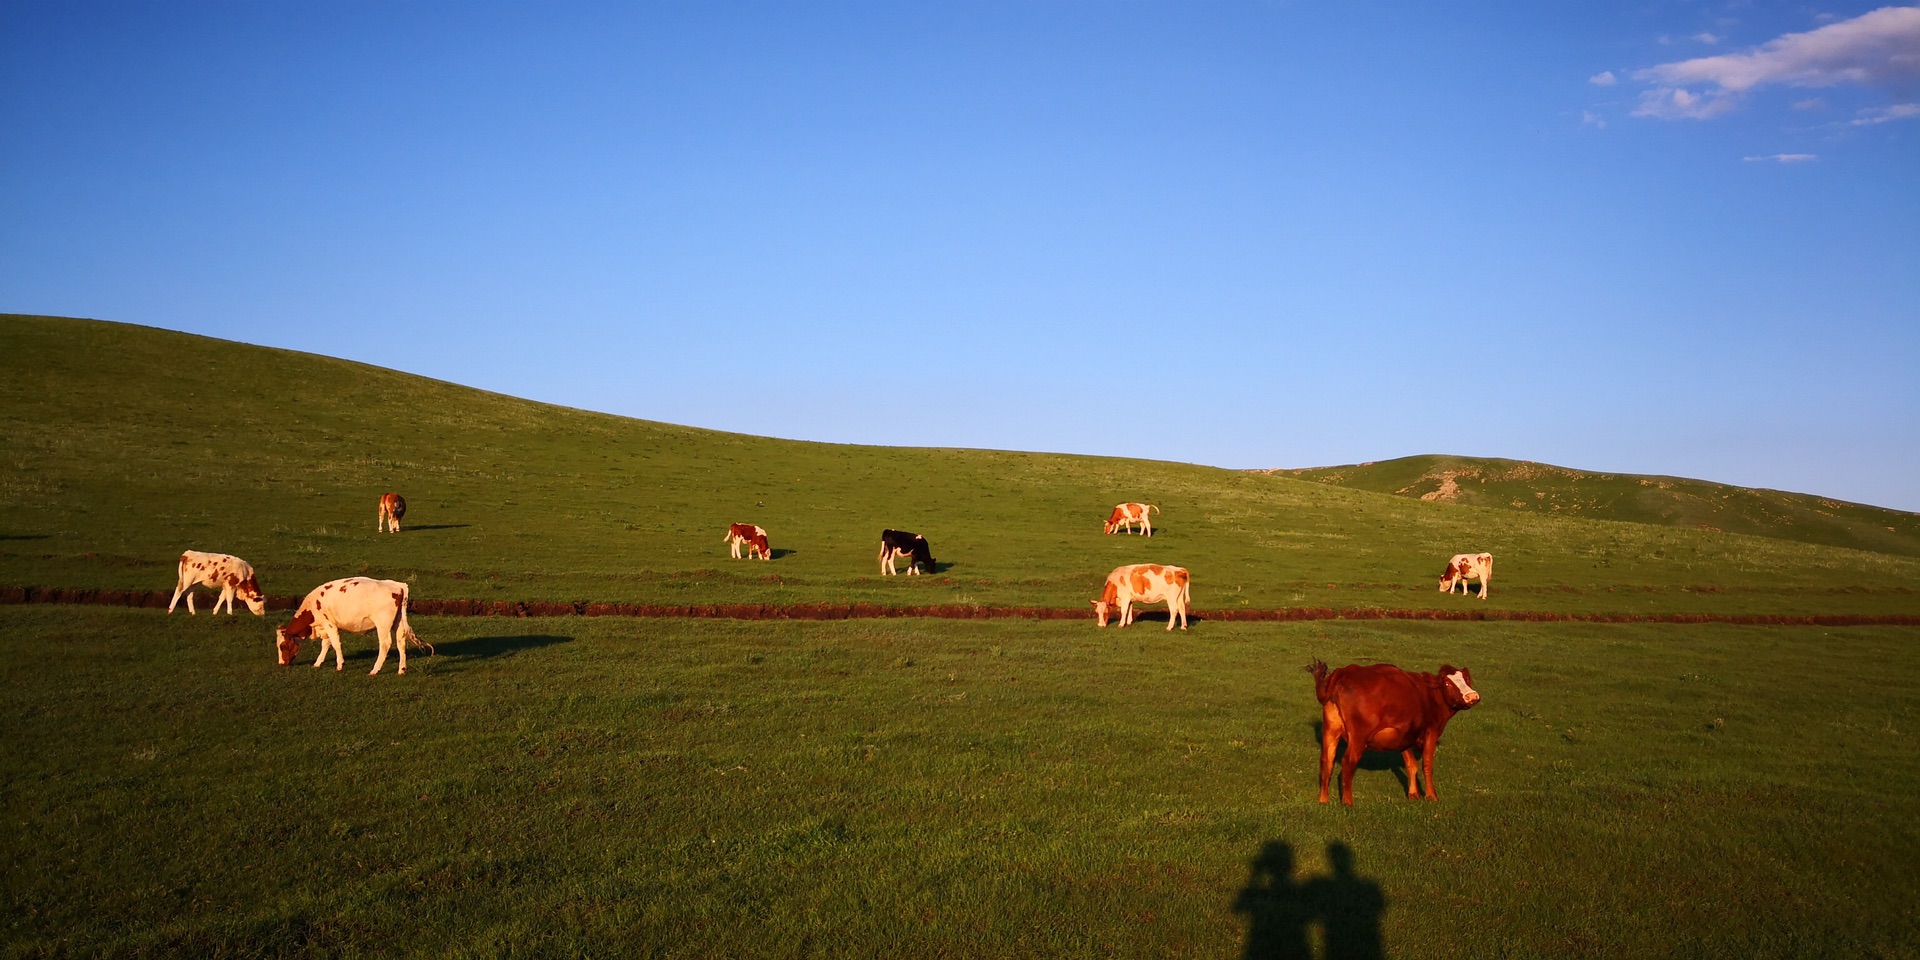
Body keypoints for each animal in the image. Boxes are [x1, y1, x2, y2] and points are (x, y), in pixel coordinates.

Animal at [274, 576, 432, 675]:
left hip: (383, 623)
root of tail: (397, 585)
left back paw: (375, 670)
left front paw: (339, 665)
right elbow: (326, 644)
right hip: (397, 622)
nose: (281, 663)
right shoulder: (327, 626)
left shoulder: (329, 624)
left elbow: (335, 644)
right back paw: (401, 670)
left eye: (283, 646)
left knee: (386, 644)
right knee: (401, 642)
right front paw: (317, 663)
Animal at [1313, 656, 1474, 806]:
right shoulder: (1431, 730)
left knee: (1326, 761)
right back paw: (1347, 803)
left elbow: (1411, 764)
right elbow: (1427, 764)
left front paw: (1413, 794)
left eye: (1466, 680)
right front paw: (1431, 796)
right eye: (1447, 683)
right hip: (1358, 737)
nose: (1472, 696)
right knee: (1348, 762)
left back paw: (1323, 800)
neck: (1429, 695)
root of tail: (1346, 670)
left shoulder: (1405, 736)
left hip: (1331, 730)